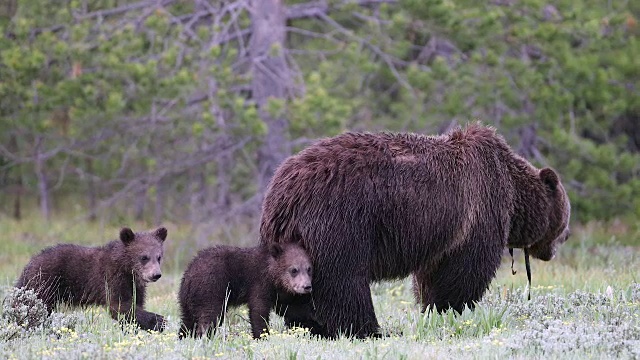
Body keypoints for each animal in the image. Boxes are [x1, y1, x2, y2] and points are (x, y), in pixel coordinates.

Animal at [16, 228, 169, 332]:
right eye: (144, 257)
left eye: (159, 257)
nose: (156, 274)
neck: (127, 270)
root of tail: (29, 263)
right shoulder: (112, 279)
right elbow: (120, 306)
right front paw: (160, 321)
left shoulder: (135, 287)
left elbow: (134, 306)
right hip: (45, 284)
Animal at [176, 242, 318, 340]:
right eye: (294, 269)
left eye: (309, 268)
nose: (307, 286)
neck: (271, 274)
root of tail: (189, 277)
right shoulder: (259, 284)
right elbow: (258, 310)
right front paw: (262, 336)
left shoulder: (276, 292)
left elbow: (290, 308)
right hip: (211, 289)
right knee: (210, 317)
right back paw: (204, 337)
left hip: (187, 299)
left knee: (187, 320)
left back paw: (183, 337)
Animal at [262, 123, 572, 338]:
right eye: (564, 222)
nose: (561, 242)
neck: (513, 193)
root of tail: (283, 190)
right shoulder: (478, 211)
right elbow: (466, 271)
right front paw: (452, 308)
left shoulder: (441, 234)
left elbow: (430, 275)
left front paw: (431, 309)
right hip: (340, 220)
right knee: (343, 280)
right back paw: (366, 329)